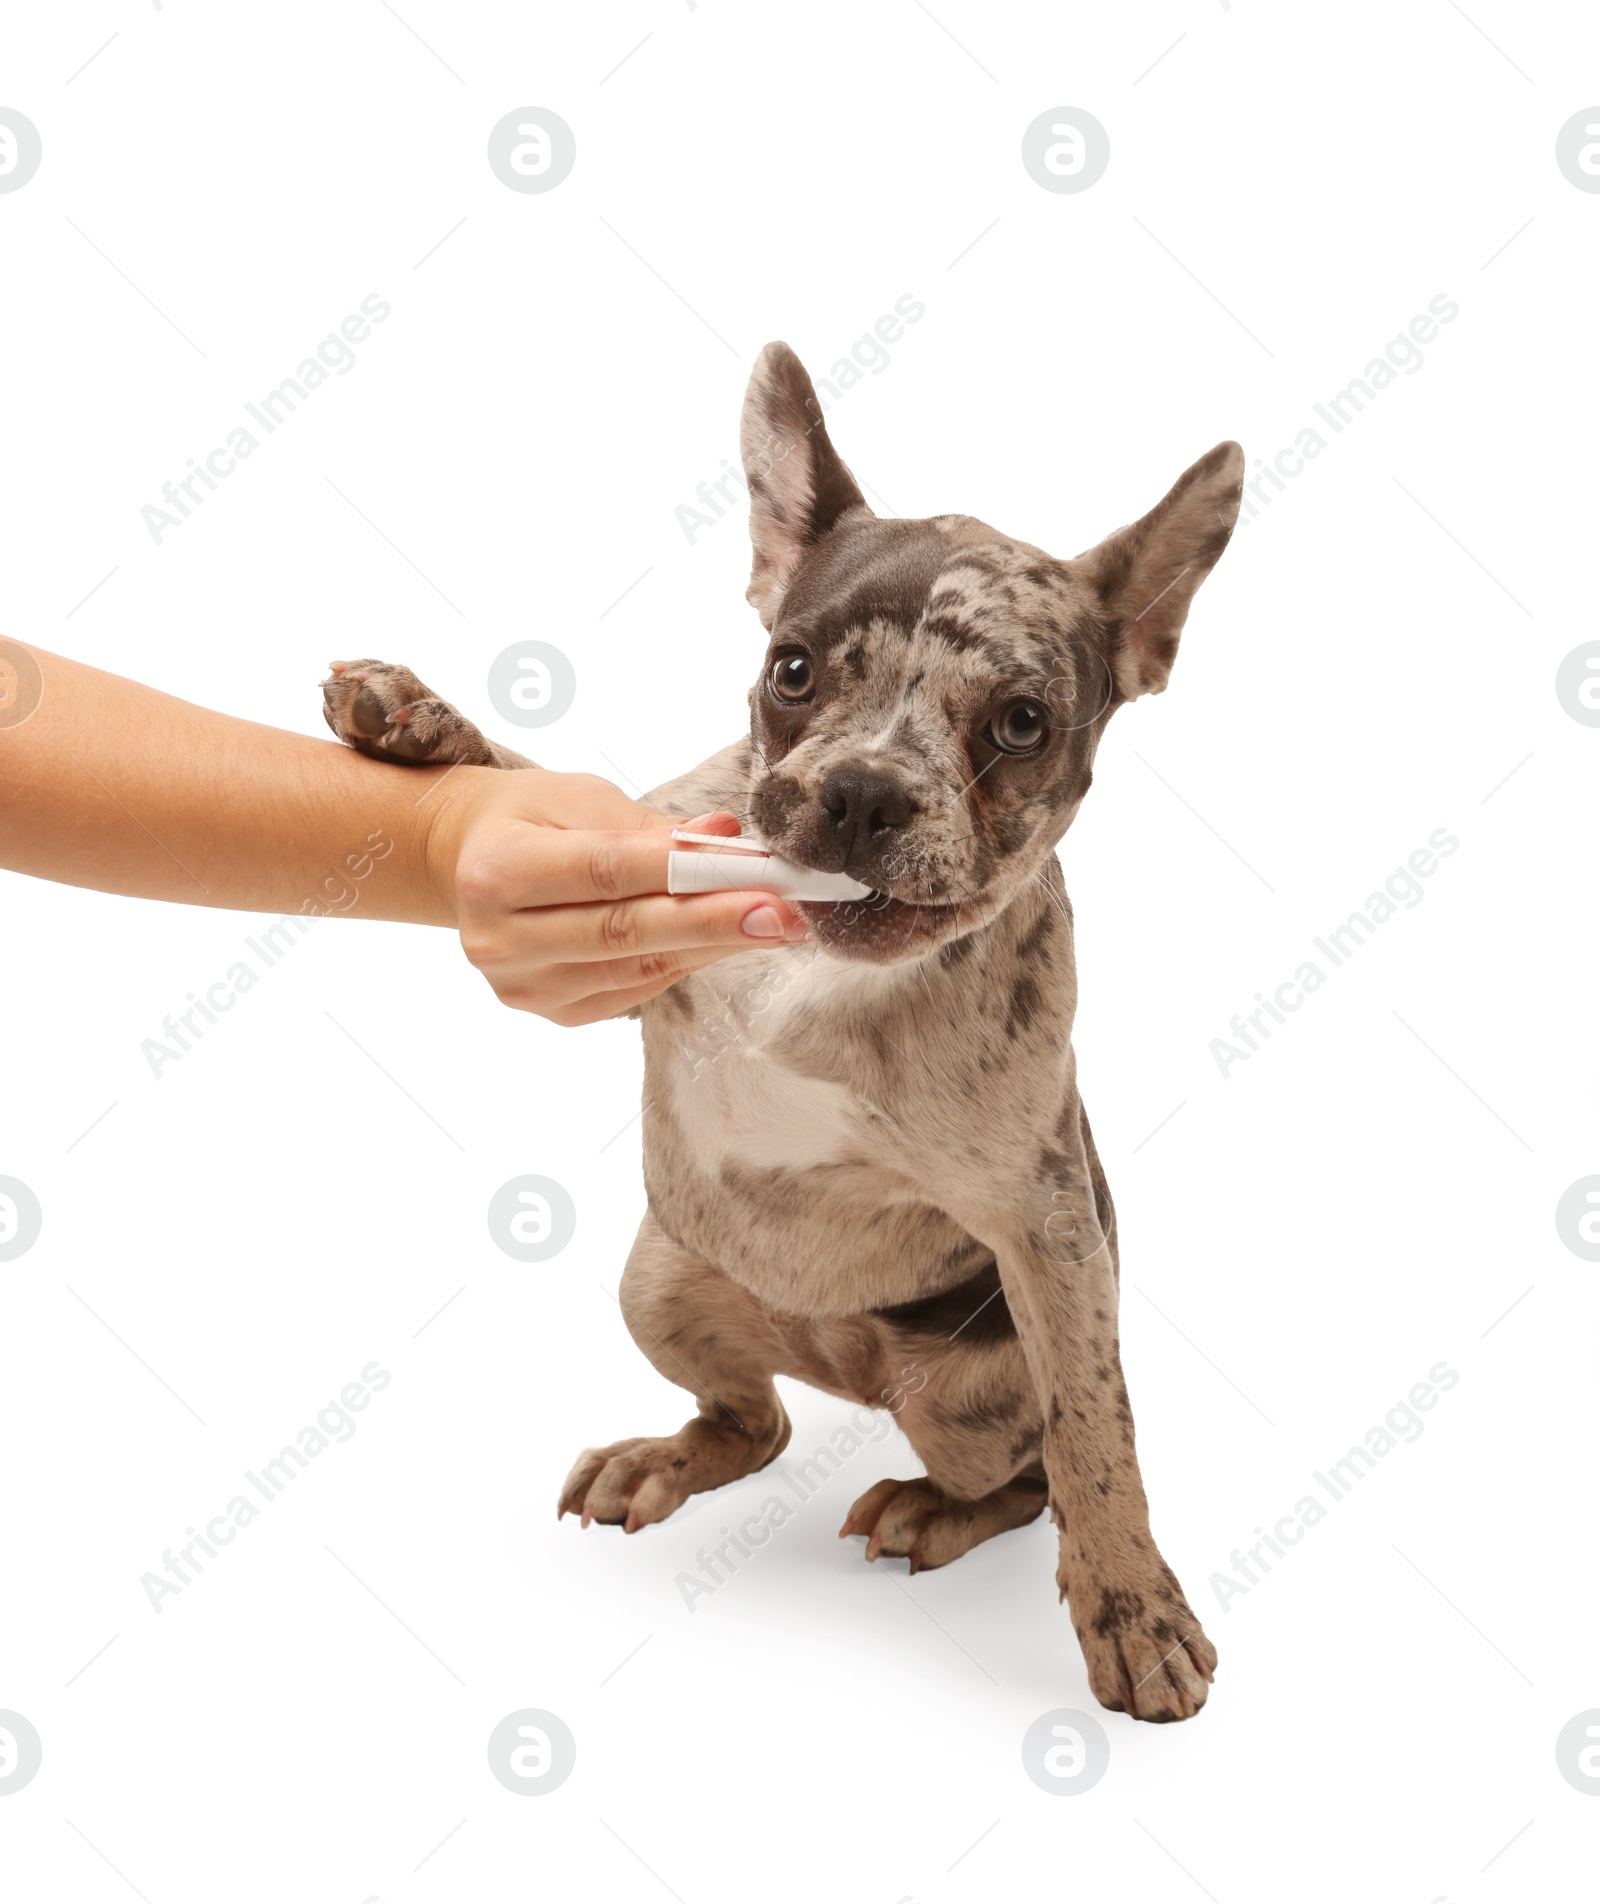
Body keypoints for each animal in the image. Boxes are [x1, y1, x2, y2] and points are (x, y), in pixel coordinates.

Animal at [325, 346, 1241, 1728]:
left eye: (1022, 723)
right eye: (793, 669)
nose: (861, 790)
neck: (820, 960)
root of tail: (843, 1365)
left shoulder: (1046, 1225)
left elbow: (1098, 1434)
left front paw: (1133, 1604)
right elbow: (561, 793)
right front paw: (423, 721)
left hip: (968, 1396)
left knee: (1022, 1479)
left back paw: (929, 1510)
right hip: (657, 1284)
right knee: (753, 1423)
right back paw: (666, 1456)